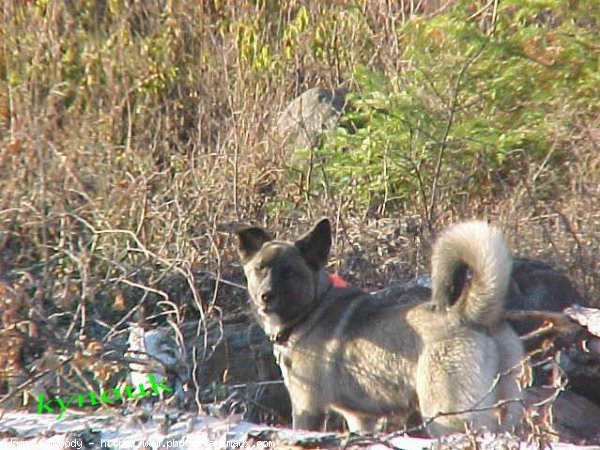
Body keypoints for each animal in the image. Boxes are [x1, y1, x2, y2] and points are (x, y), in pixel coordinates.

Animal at [237, 218, 524, 436]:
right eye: (260, 269)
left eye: (289, 273)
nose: (265, 296)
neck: (313, 308)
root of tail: (468, 314)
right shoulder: (362, 418)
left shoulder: (307, 407)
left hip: (447, 415)